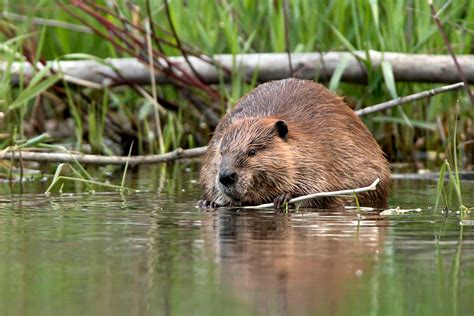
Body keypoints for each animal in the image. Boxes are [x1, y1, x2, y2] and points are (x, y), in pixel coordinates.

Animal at [198, 78, 390, 209]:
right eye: (222, 152)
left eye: (252, 152)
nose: (225, 176)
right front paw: (208, 203)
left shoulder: (321, 155)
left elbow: (319, 190)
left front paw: (284, 197)